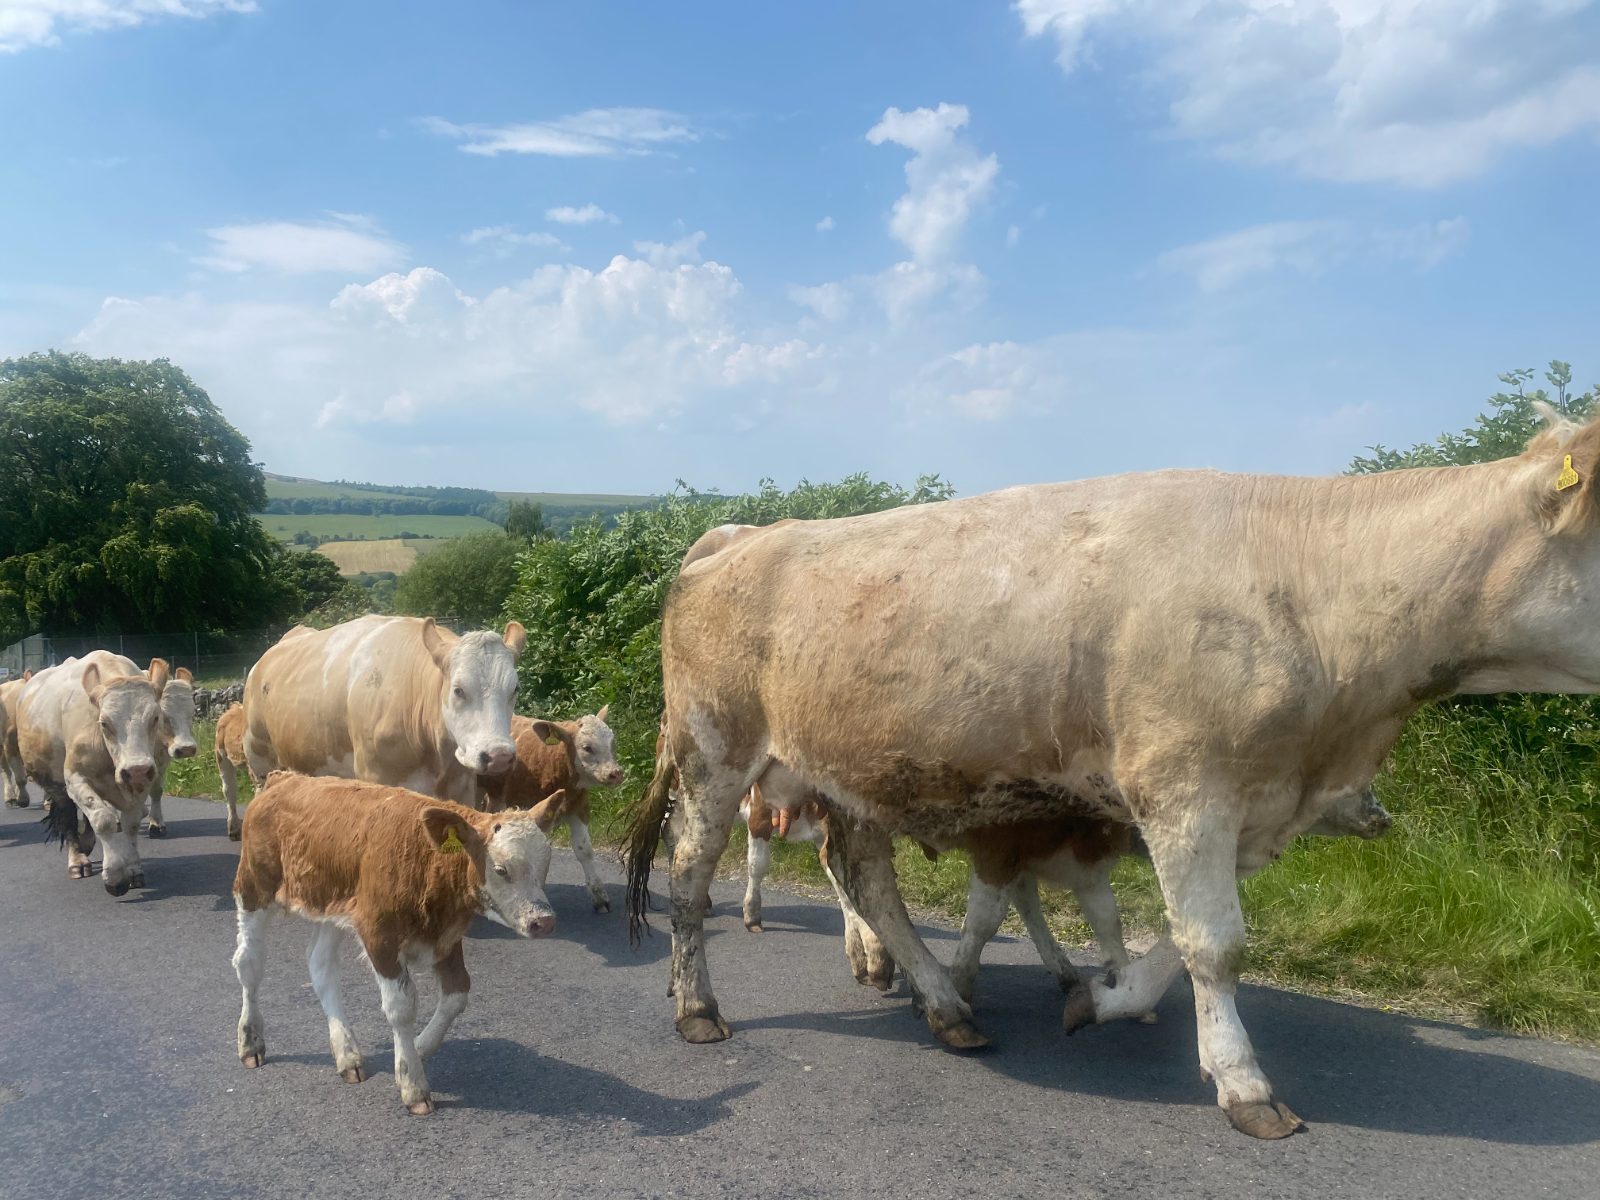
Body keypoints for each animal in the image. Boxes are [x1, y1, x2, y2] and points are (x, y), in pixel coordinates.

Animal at [17, 653, 174, 895]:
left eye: (155, 717)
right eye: (105, 722)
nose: (136, 769)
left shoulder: (142, 782)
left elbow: (130, 823)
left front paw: (133, 869)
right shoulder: (75, 779)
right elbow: (103, 819)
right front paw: (114, 876)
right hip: (56, 785)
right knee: (68, 818)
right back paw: (77, 861)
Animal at [231, 771, 558, 1115]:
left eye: (545, 865)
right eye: (500, 869)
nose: (544, 920)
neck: (426, 858)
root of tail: (286, 777)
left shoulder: (446, 936)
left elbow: (457, 995)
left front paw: (418, 1047)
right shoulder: (378, 933)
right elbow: (402, 1006)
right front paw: (412, 1083)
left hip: (332, 904)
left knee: (320, 966)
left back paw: (347, 1054)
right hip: (253, 887)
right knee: (249, 963)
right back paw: (251, 1041)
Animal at [241, 615, 526, 808]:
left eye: (515, 688)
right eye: (458, 690)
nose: (499, 756)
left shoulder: (462, 786)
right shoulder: (377, 779)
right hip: (259, 759)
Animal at [478, 708, 625, 912]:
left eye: (612, 743)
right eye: (587, 747)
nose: (616, 773)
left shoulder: (577, 805)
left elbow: (584, 849)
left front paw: (599, 895)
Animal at [624, 410, 1600, 1139]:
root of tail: (741, 535)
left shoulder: (1247, 802)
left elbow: (1177, 937)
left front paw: (1106, 998)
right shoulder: (1184, 787)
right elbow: (1216, 942)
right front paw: (1244, 1085)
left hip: (851, 771)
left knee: (868, 882)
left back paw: (946, 1007)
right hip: (718, 749)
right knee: (691, 876)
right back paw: (697, 1005)